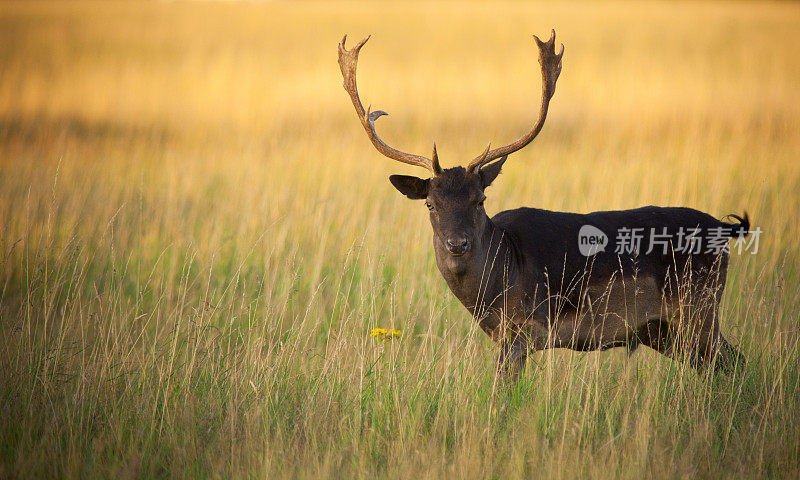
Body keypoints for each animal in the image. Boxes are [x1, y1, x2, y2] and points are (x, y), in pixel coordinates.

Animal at [338, 31, 752, 380]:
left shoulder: (528, 329)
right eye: (430, 203)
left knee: (736, 361)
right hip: (664, 330)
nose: (458, 244)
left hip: (699, 307)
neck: (499, 278)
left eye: (480, 199)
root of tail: (725, 229)